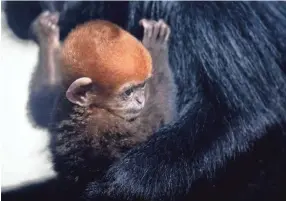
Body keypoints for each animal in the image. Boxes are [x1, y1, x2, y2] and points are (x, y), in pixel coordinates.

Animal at [29, 11, 177, 182]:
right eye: (128, 92)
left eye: (143, 85)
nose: (141, 100)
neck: (88, 109)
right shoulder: (107, 127)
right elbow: (159, 120)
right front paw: (156, 45)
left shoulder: (60, 100)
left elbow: (41, 105)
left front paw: (46, 35)